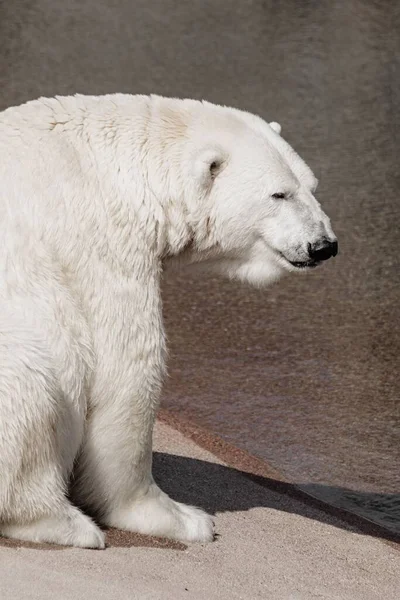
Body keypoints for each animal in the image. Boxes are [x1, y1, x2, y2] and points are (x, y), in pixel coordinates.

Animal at [0, 94, 338, 548]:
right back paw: (66, 522)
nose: (324, 245)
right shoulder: (102, 243)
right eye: (278, 194)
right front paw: (181, 518)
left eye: (311, 187)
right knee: (35, 379)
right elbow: (128, 369)